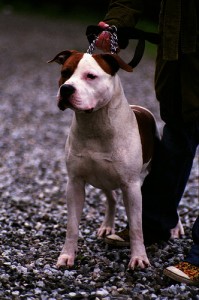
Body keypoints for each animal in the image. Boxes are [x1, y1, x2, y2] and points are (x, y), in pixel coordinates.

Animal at [48, 49, 180, 270]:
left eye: (90, 76)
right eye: (65, 72)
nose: (66, 89)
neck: (95, 124)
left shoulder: (131, 186)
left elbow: (136, 227)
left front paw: (139, 258)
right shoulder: (74, 183)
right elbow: (72, 226)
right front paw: (67, 256)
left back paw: (176, 227)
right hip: (103, 179)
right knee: (112, 198)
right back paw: (106, 226)